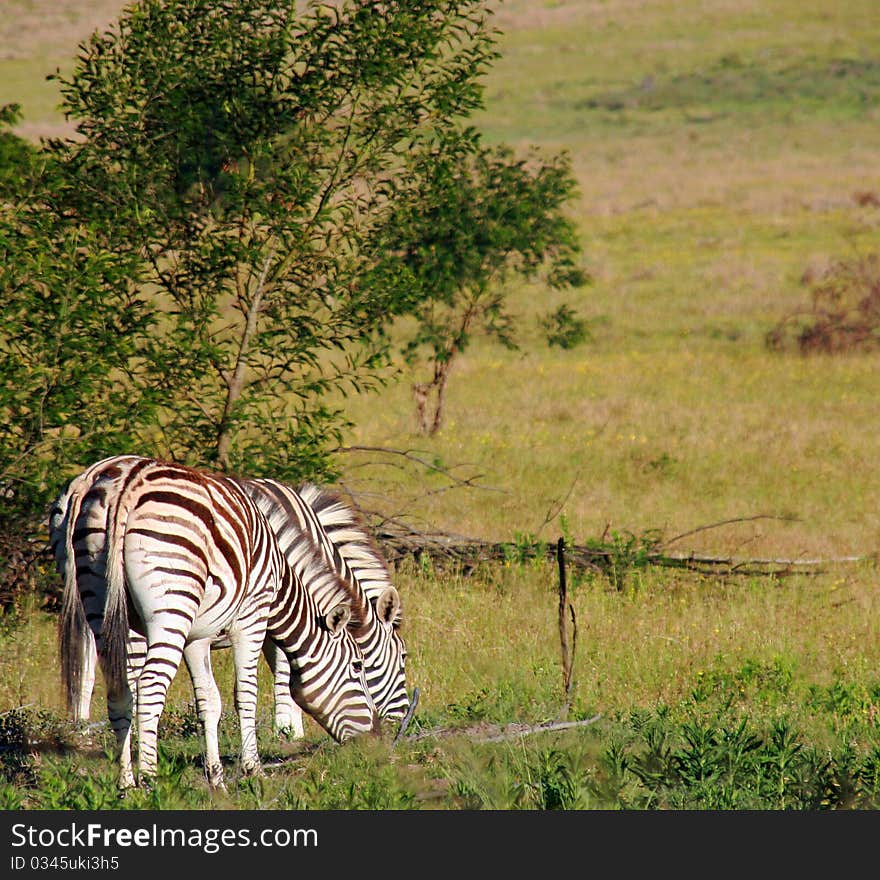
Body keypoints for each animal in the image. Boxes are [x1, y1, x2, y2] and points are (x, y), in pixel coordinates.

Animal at [58, 458, 378, 788]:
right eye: (357, 666)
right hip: (170, 604)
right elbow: (247, 693)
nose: (372, 739)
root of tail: (123, 483)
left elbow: (209, 702)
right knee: (148, 687)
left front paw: (216, 778)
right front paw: (253, 767)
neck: (279, 581)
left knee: (118, 689)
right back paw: (150, 781)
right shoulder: (252, 617)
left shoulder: (197, 638)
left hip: (99, 599)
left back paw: (126, 783)